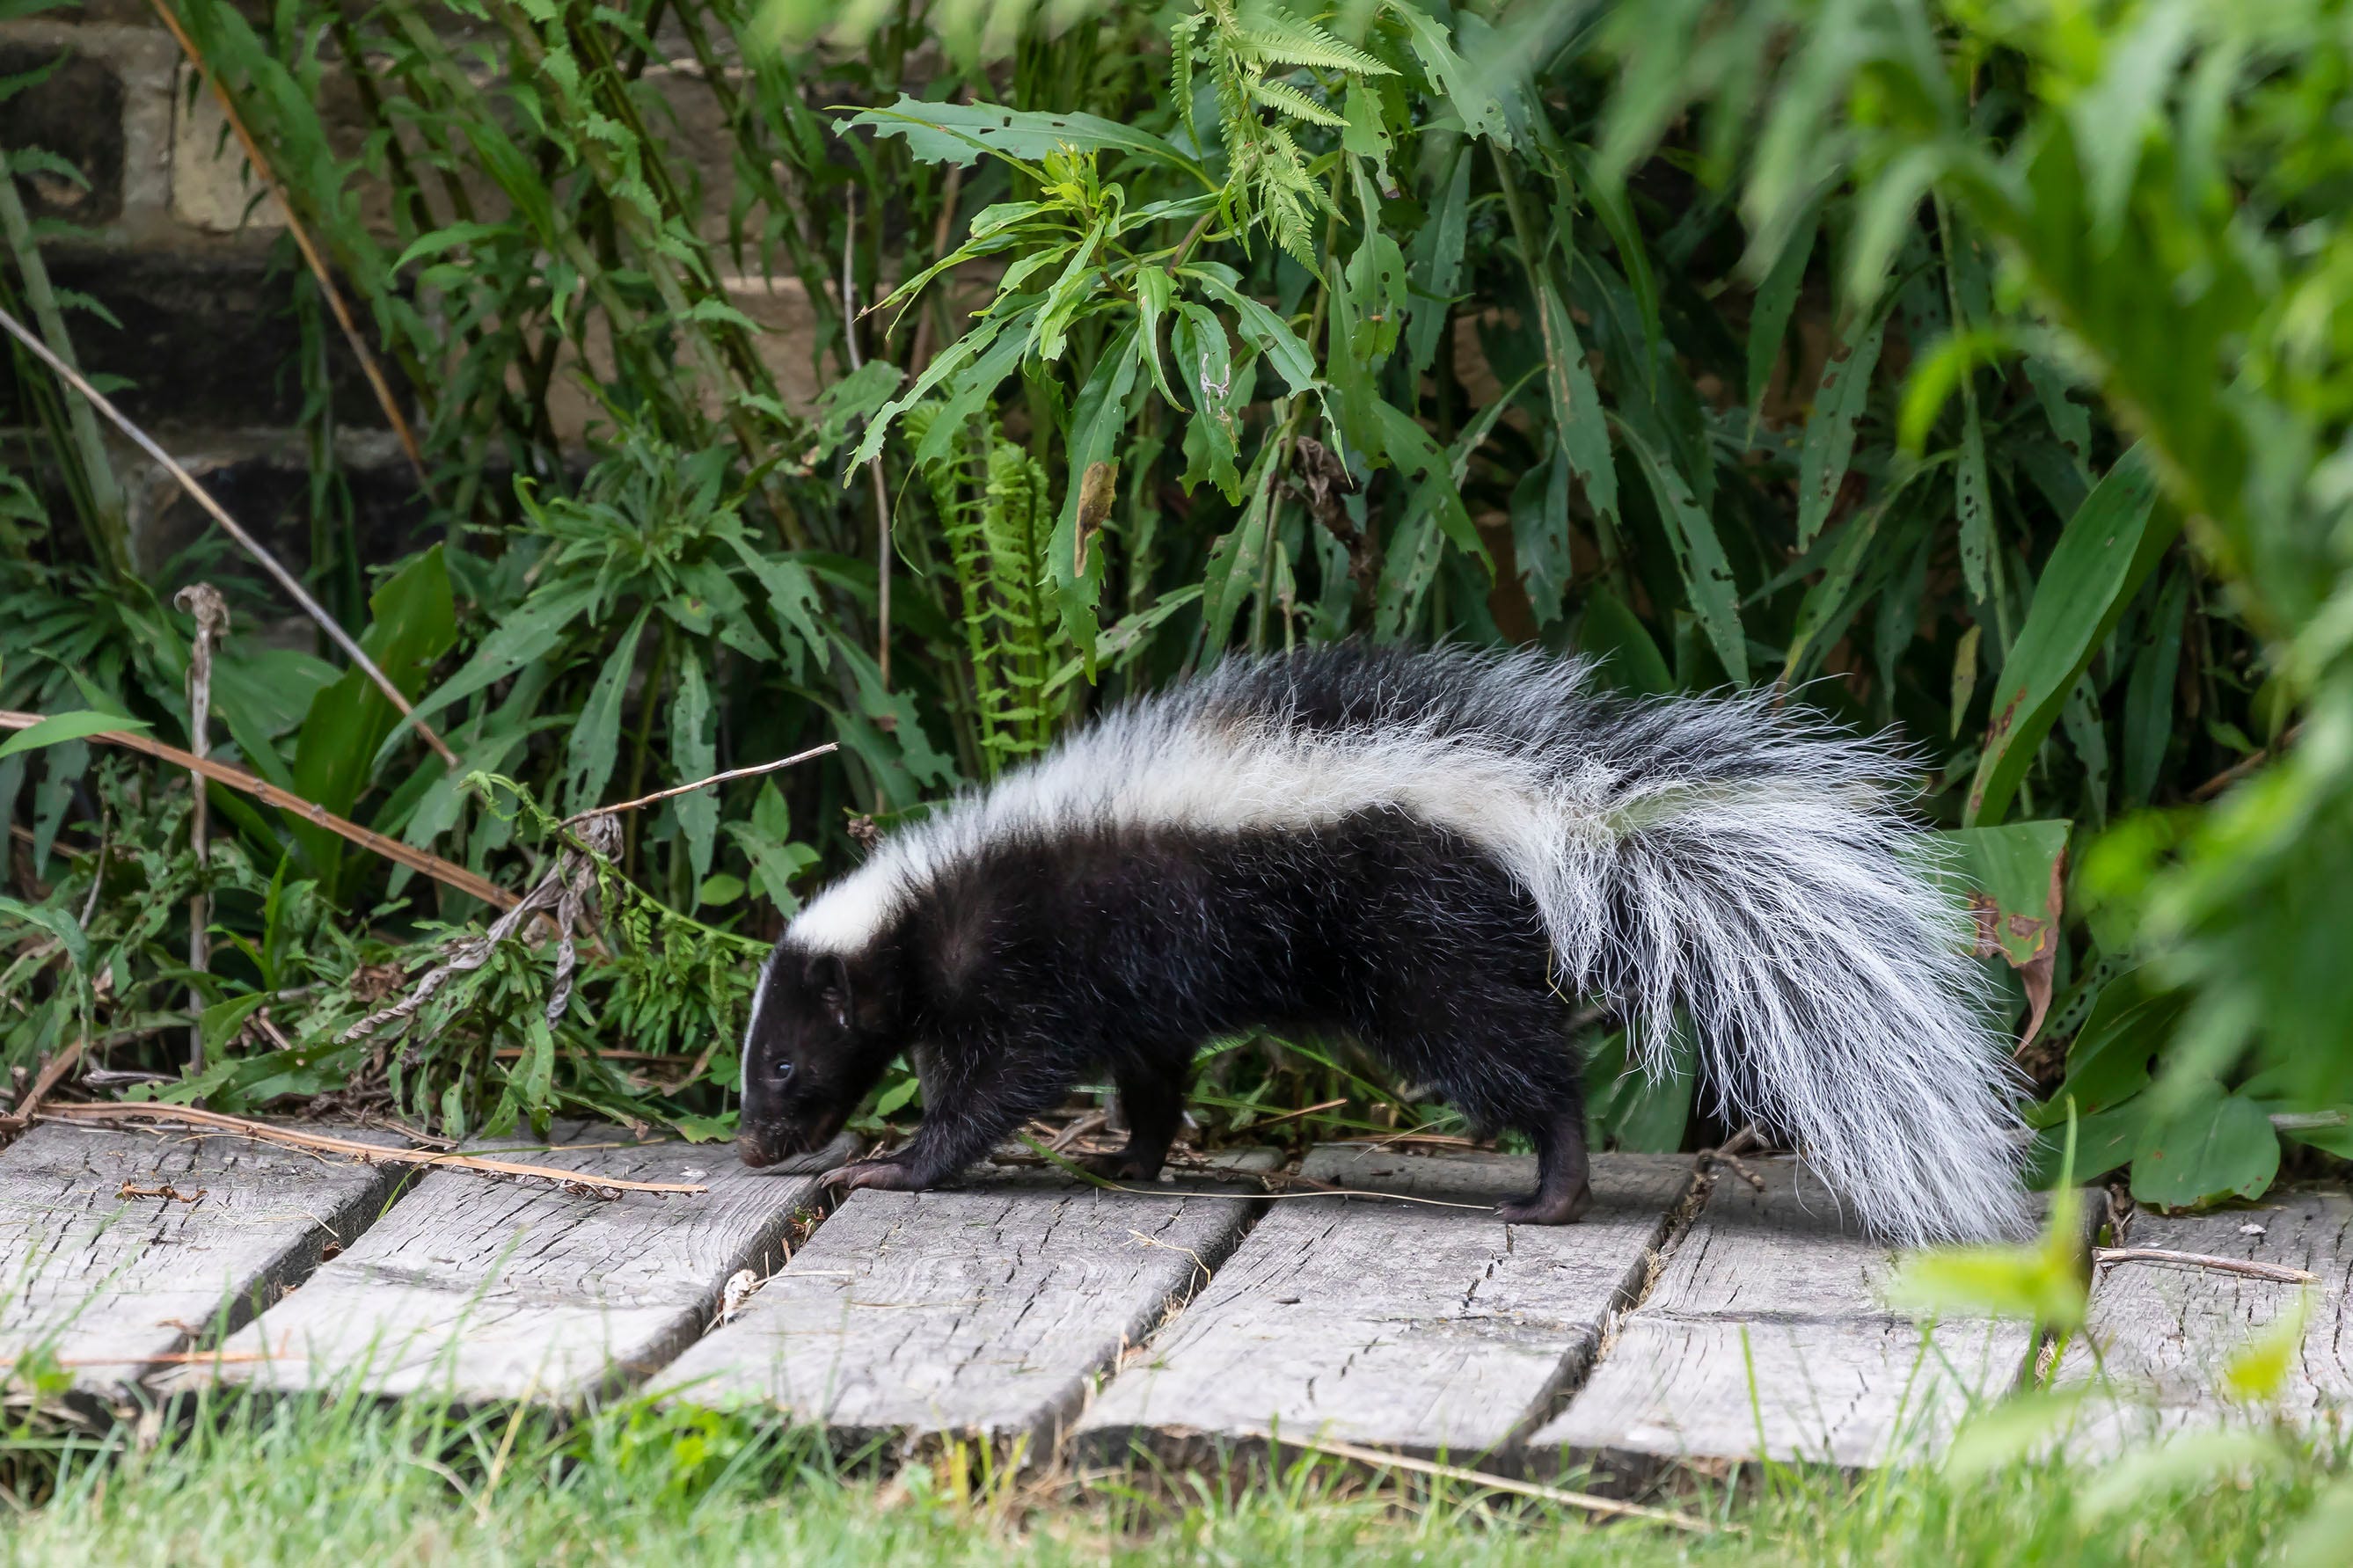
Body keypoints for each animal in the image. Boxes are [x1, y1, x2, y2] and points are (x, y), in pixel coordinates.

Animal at [743, 644, 2033, 1241]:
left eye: (785, 1063)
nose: (756, 1142)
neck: (926, 901)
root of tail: (1536, 807)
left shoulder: (1028, 960)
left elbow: (996, 1083)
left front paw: (893, 1163)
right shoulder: (1126, 986)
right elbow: (1151, 1073)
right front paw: (1133, 1157)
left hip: (1421, 955)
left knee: (1523, 1063)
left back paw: (1552, 1190)